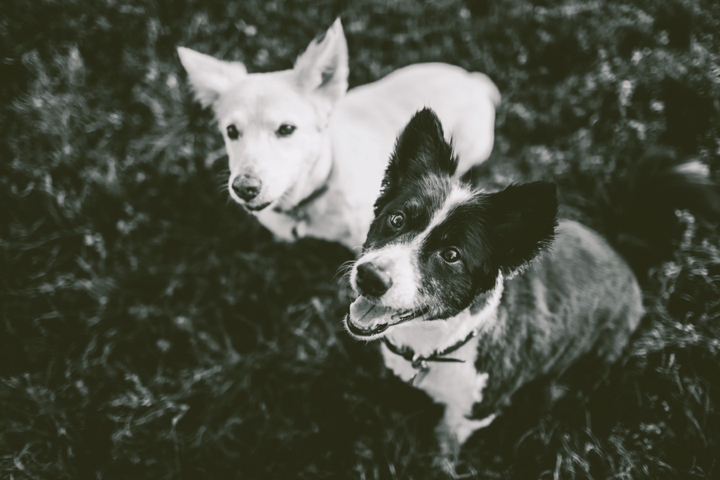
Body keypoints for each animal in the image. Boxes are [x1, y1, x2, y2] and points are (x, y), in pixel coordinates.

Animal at [342, 109, 716, 468]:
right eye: (396, 219)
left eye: (451, 255)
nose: (369, 277)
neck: (441, 344)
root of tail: (624, 255)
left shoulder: (478, 410)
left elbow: (448, 434)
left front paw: (439, 461)